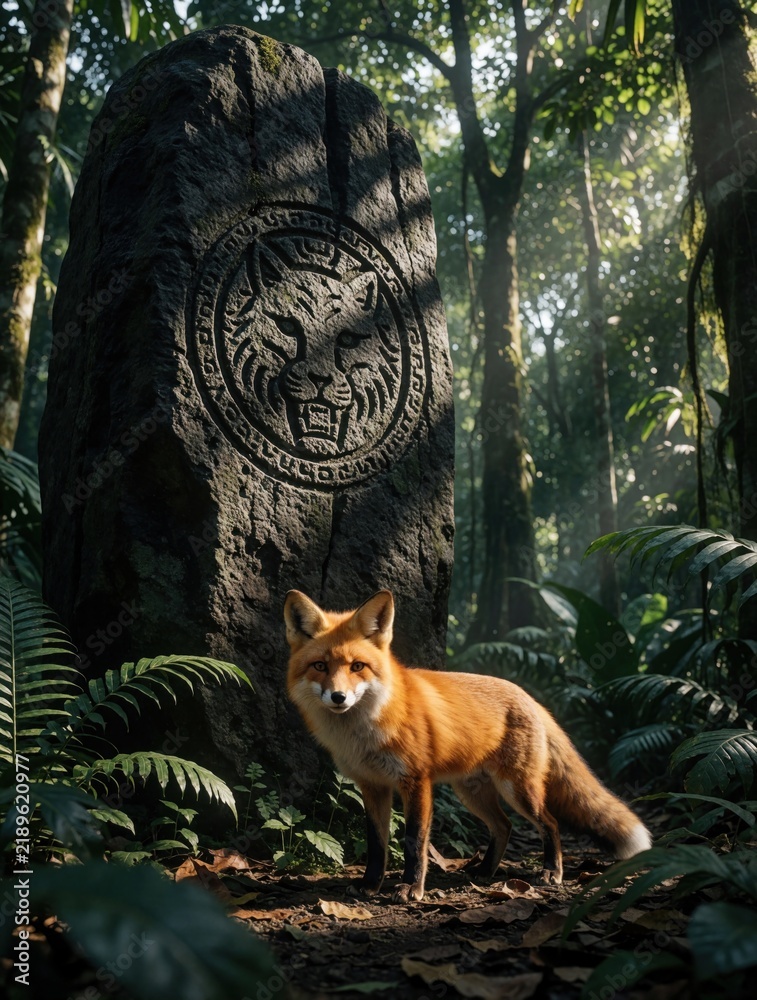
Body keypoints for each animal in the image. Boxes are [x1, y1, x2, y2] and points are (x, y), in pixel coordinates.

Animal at [284, 588, 652, 903]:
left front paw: (411, 888)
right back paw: (486, 870)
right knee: (504, 826)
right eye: (320, 666)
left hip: (518, 789)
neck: (365, 730)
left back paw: (551, 872)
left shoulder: (416, 782)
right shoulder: (372, 785)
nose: (338, 697)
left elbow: (415, 841)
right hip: (472, 792)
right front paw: (370, 885)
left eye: (357, 666)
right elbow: (377, 843)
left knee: (550, 823)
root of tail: (530, 697)